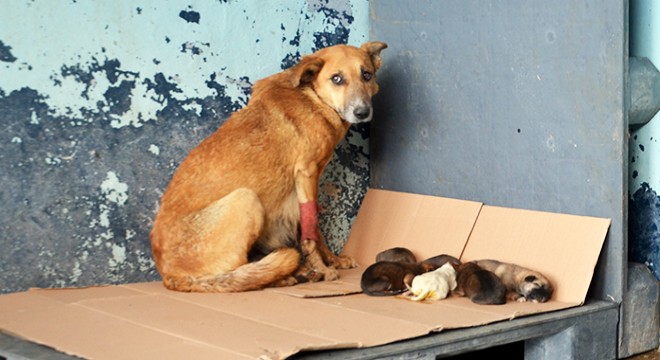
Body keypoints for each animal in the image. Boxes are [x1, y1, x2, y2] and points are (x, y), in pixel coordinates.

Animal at [150, 41, 386, 292]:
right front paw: (323, 268)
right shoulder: (306, 173)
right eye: (337, 79)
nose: (362, 112)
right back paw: (286, 276)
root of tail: (170, 276)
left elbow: (313, 227)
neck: (312, 98)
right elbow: (311, 230)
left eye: (367, 75)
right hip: (246, 199)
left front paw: (334, 260)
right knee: (243, 275)